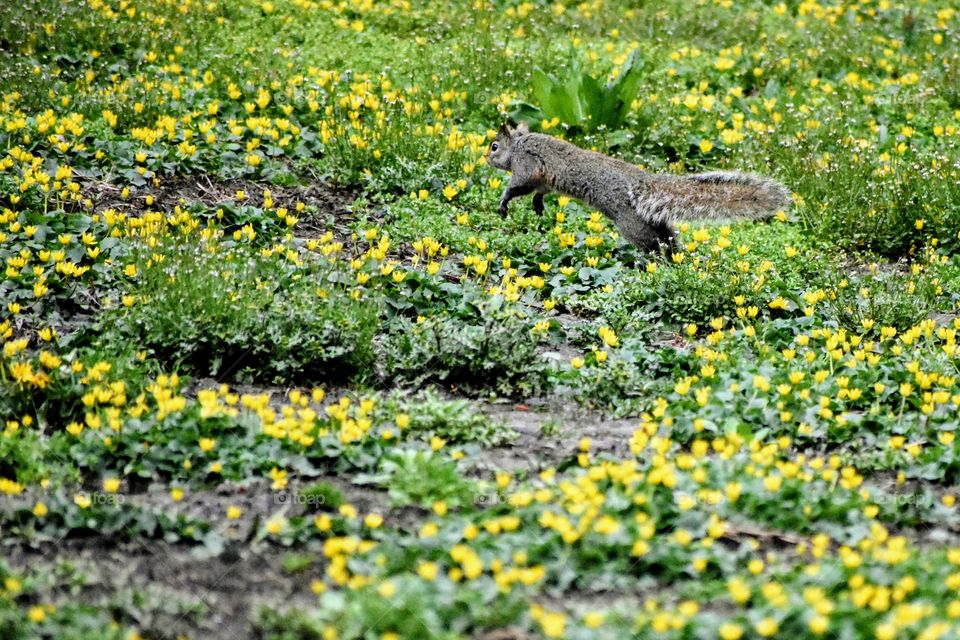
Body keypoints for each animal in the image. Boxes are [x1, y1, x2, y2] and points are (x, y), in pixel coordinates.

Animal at [486, 122, 791, 252]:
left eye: (494, 146)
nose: (485, 159)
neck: (518, 146)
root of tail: (644, 183)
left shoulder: (527, 166)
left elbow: (519, 186)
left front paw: (504, 201)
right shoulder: (542, 178)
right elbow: (541, 190)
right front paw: (538, 204)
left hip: (631, 224)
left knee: (653, 244)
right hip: (654, 220)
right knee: (668, 240)